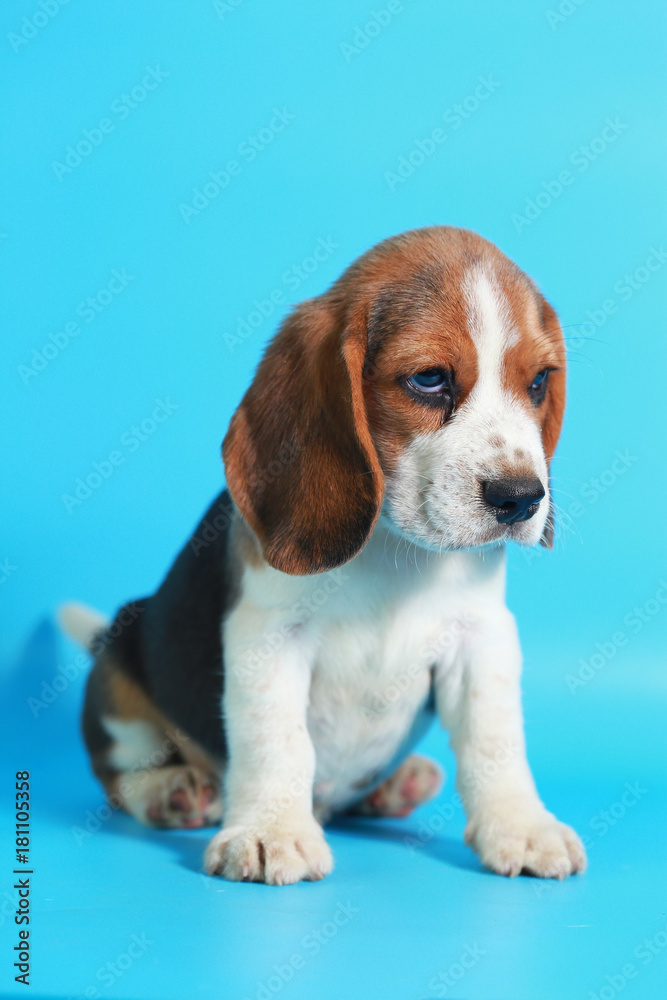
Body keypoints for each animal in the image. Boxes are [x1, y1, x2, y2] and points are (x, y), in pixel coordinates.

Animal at [61, 227, 584, 884]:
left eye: (538, 382)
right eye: (429, 379)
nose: (521, 498)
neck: (393, 548)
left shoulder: (483, 636)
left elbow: (495, 740)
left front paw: (521, 824)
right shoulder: (268, 634)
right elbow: (277, 739)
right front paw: (270, 832)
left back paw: (395, 785)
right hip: (121, 676)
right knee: (118, 774)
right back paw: (172, 791)